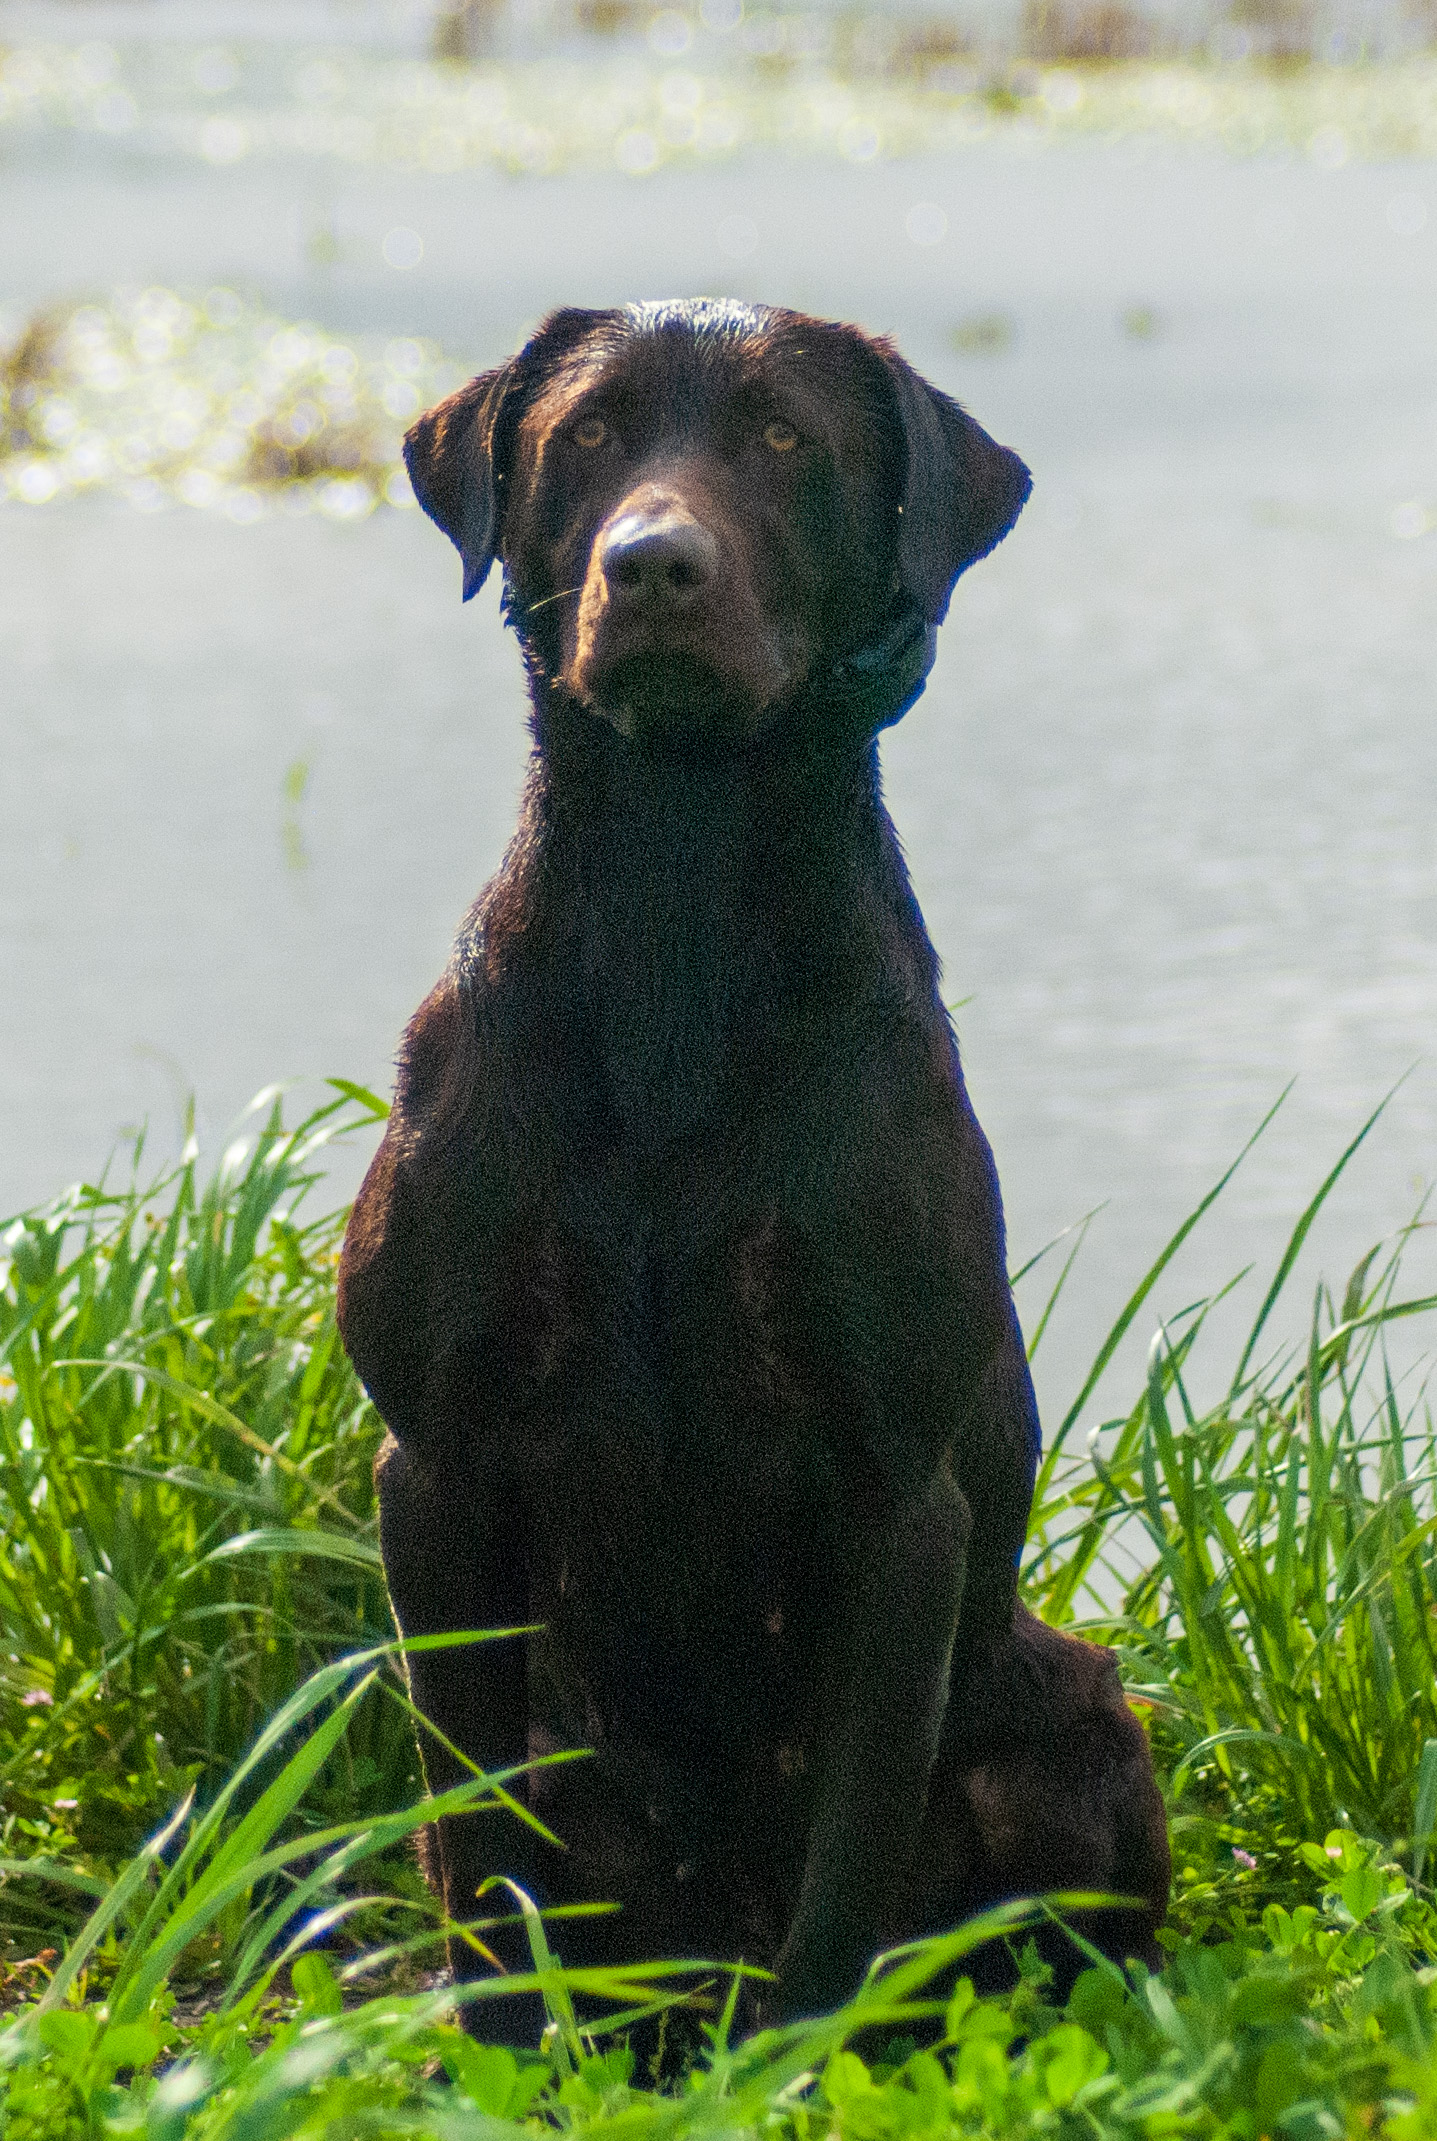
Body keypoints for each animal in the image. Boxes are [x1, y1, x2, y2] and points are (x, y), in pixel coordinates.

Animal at [338, 301, 1165, 2038]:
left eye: (786, 438)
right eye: (585, 435)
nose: (653, 564)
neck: (677, 927)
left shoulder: (893, 1495)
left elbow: (847, 1864)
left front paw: (796, 2063)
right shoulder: (431, 1464)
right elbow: (473, 1844)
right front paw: (488, 2056)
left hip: (1074, 1716)